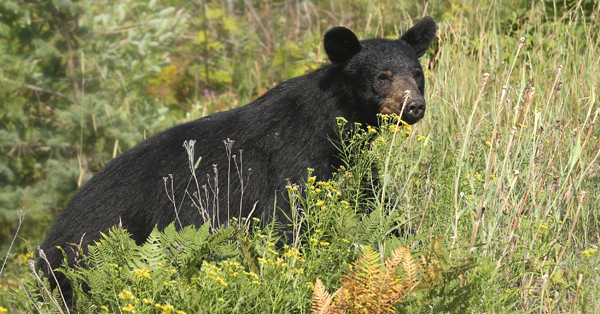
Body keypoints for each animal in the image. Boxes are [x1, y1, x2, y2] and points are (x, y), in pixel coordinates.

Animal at [41, 16, 436, 304]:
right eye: (382, 77)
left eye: (417, 74)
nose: (415, 106)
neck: (331, 120)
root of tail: (49, 238)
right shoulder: (291, 159)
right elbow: (286, 219)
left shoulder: (346, 162)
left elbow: (375, 200)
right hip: (95, 247)